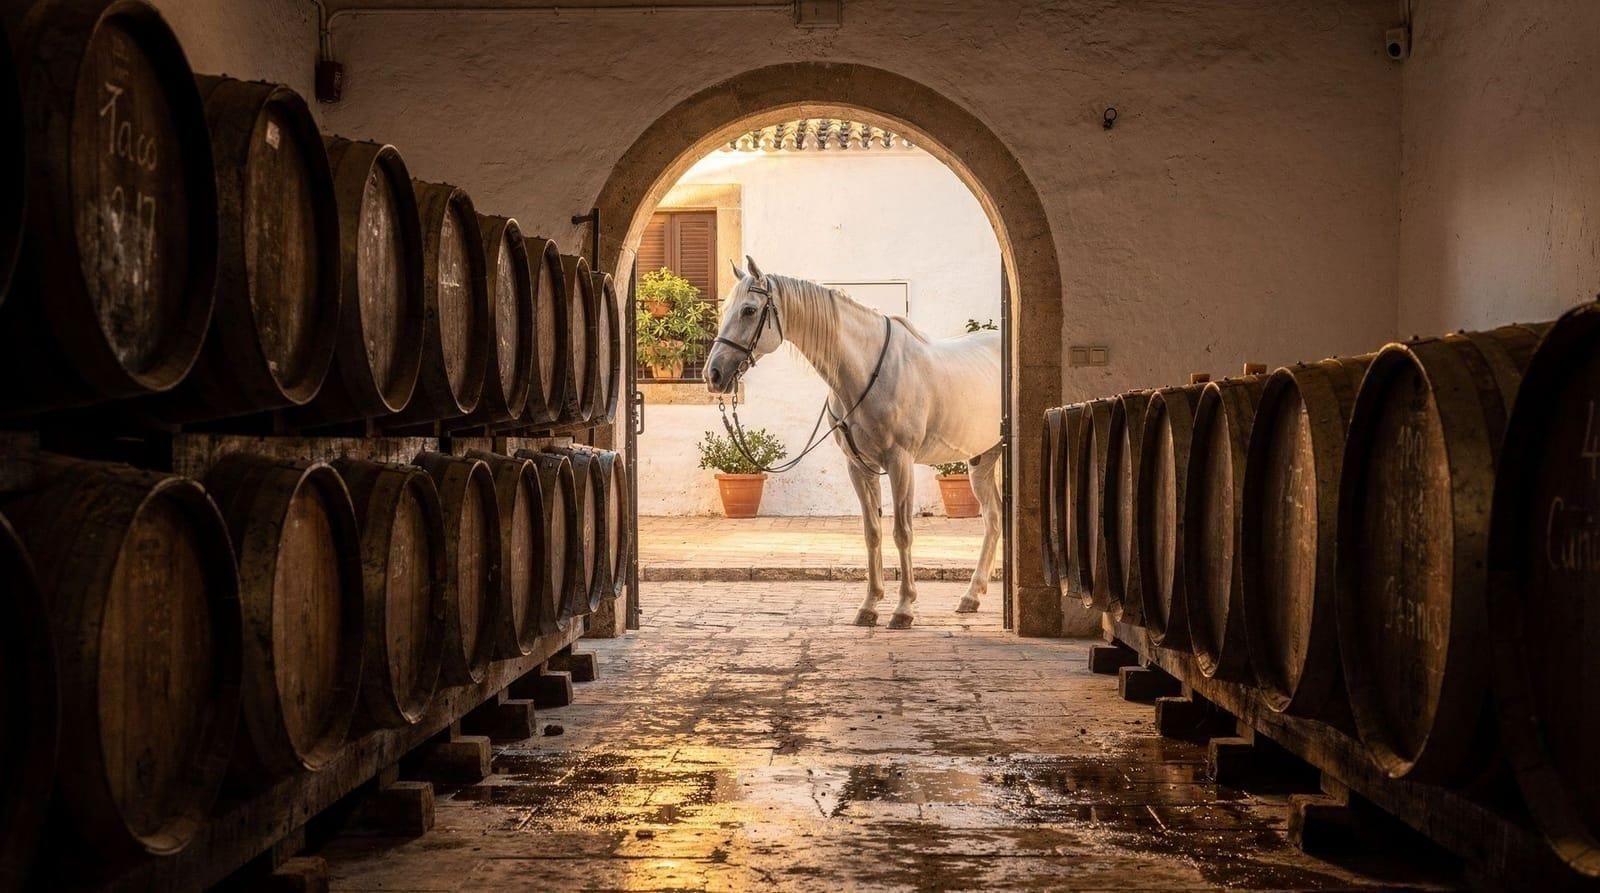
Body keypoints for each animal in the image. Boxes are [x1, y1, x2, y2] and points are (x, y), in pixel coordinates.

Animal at [703, 256, 1003, 629]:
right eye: (726, 308)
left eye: (748, 310)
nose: (713, 374)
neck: (866, 371)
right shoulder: (859, 466)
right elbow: (871, 531)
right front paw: (870, 605)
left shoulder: (900, 462)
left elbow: (902, 531)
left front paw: (904, 608)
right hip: (982, 460)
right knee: (993, 519)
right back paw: (971, 596)